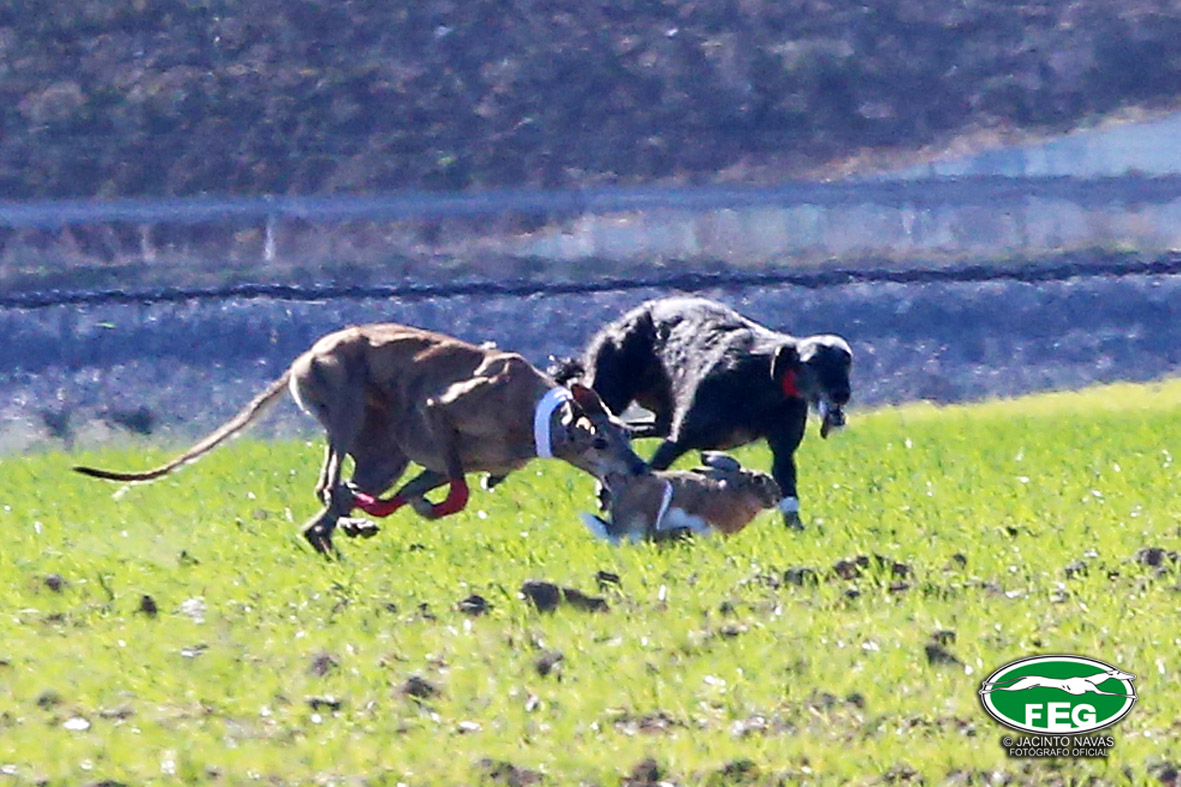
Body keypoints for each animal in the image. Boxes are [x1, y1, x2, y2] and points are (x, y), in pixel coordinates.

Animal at [74, 322, 649, 553]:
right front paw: (410, 509)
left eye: (628, 435)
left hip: (382, 452)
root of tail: (303, 356)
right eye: (601, 442)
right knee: (328, 484)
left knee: (333, 502)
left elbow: (439, 490)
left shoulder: (438, 462)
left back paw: (343, 528)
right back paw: (347, 515)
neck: (534, 410)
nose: (641, 471)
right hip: (345, 409)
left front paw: (396, 510)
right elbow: (457, 492)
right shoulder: (439, 415)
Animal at [551, 296, 851, 528]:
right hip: (610, 389)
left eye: (847, 359)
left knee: (647, 426)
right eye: (812, 361)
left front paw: (796, 528)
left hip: (659, 407)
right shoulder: (679, 440)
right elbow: (654, 467)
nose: (842, 394)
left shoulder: (783, 449)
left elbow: (786, 483)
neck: (765, 378)